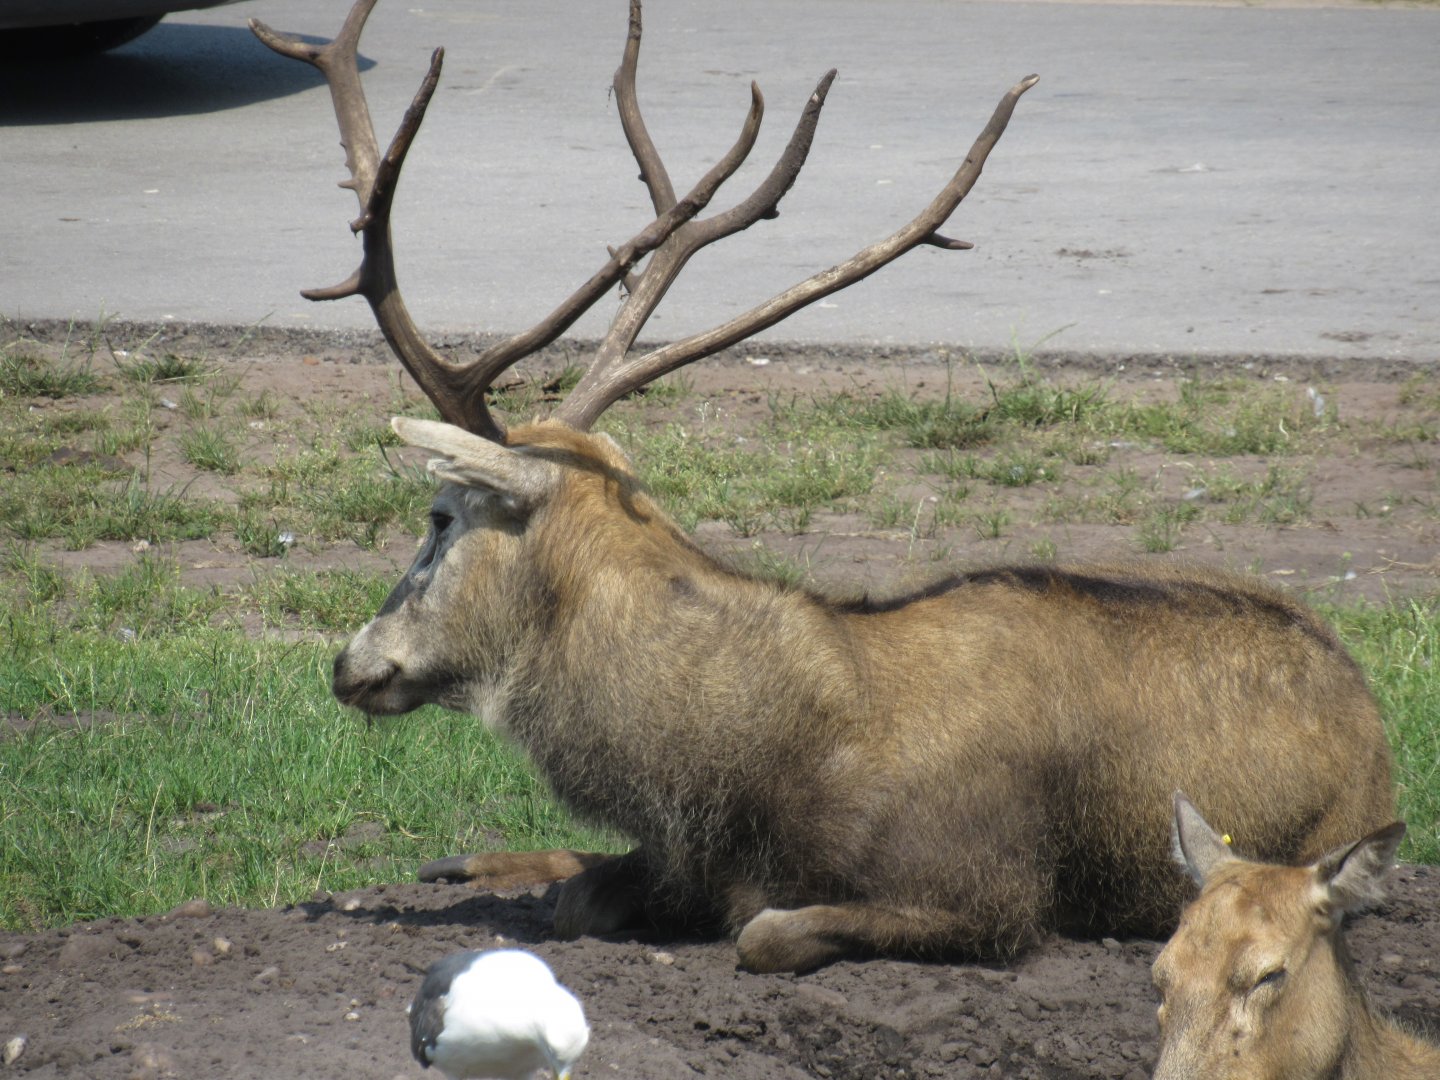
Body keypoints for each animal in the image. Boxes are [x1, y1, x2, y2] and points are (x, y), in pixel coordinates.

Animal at [250, 0, 1396, 973]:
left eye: (438, 518)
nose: (351, 662)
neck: (746, 770)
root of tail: (1374, 722)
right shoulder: (690, 856)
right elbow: (590, 894)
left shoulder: (991, 893)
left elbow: (763, 931)